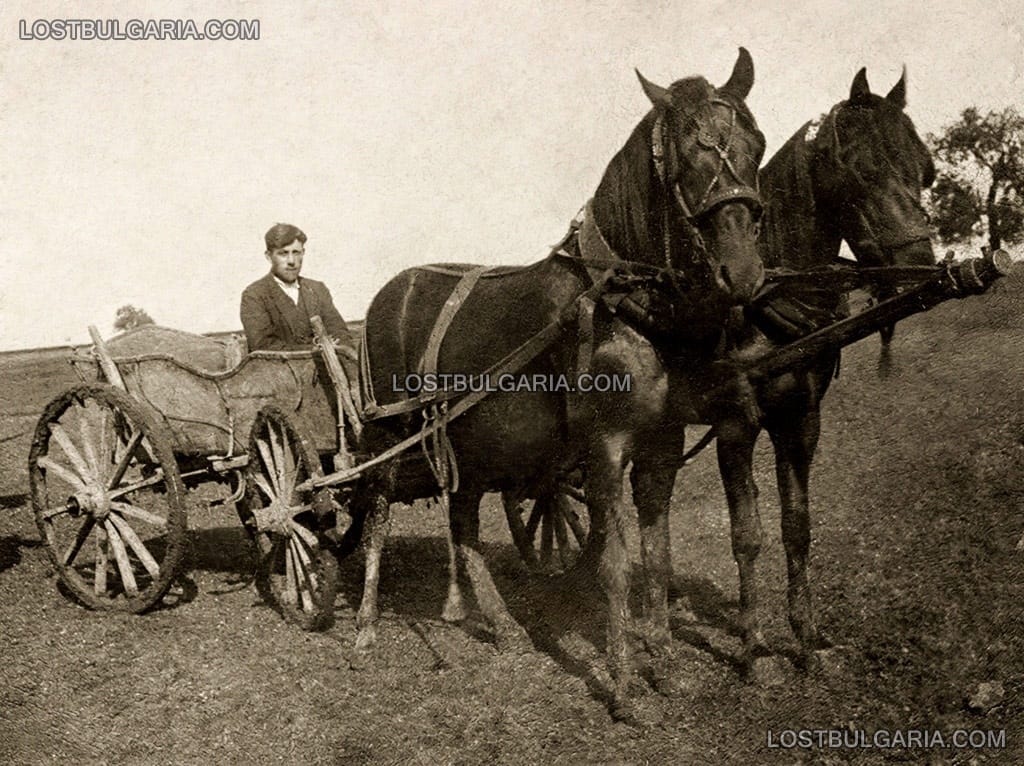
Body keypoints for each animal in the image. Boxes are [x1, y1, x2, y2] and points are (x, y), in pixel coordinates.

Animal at [352, 47, 770, 716]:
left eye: (756, 142)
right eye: (687, 153)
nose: (744, 272)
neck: (618, 302)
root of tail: (384, 296)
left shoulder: (661, 443)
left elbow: (657, 556)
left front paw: (664, 664)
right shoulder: (605, 448)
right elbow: (617, 565)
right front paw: (625, 688)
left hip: (469, 448)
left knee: (462, 525)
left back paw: (501, 625)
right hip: (390, 436)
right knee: (376, 512)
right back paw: (365, 626)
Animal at [716, 67, 937, 675]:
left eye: (926, 169)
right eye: (861, 168)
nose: (922, 269)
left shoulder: (801, 421)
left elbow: (797, 527)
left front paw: (806, 637)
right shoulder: (734, 426)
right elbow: (746, 534)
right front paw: (752, 646)